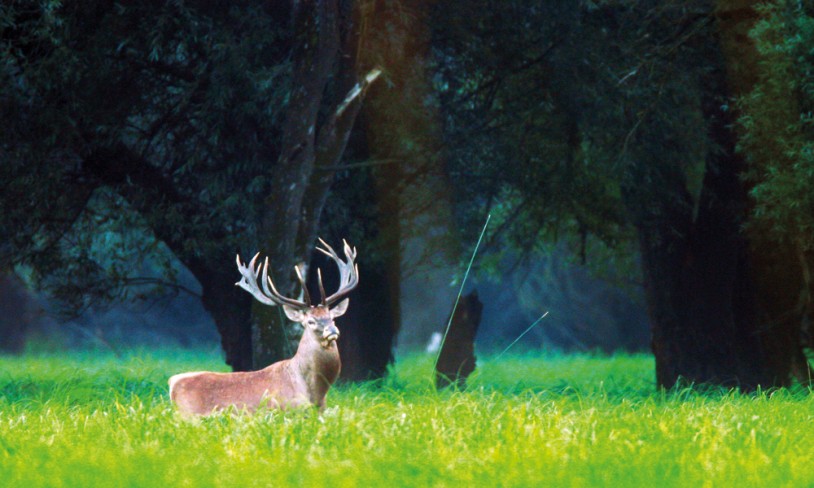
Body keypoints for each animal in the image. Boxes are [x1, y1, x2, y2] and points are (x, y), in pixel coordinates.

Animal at [171, 238, 358, 414]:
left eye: (332, 318)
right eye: (310, 321)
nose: (332, 330)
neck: (316, 393)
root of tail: (172, 385)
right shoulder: (289, 408)